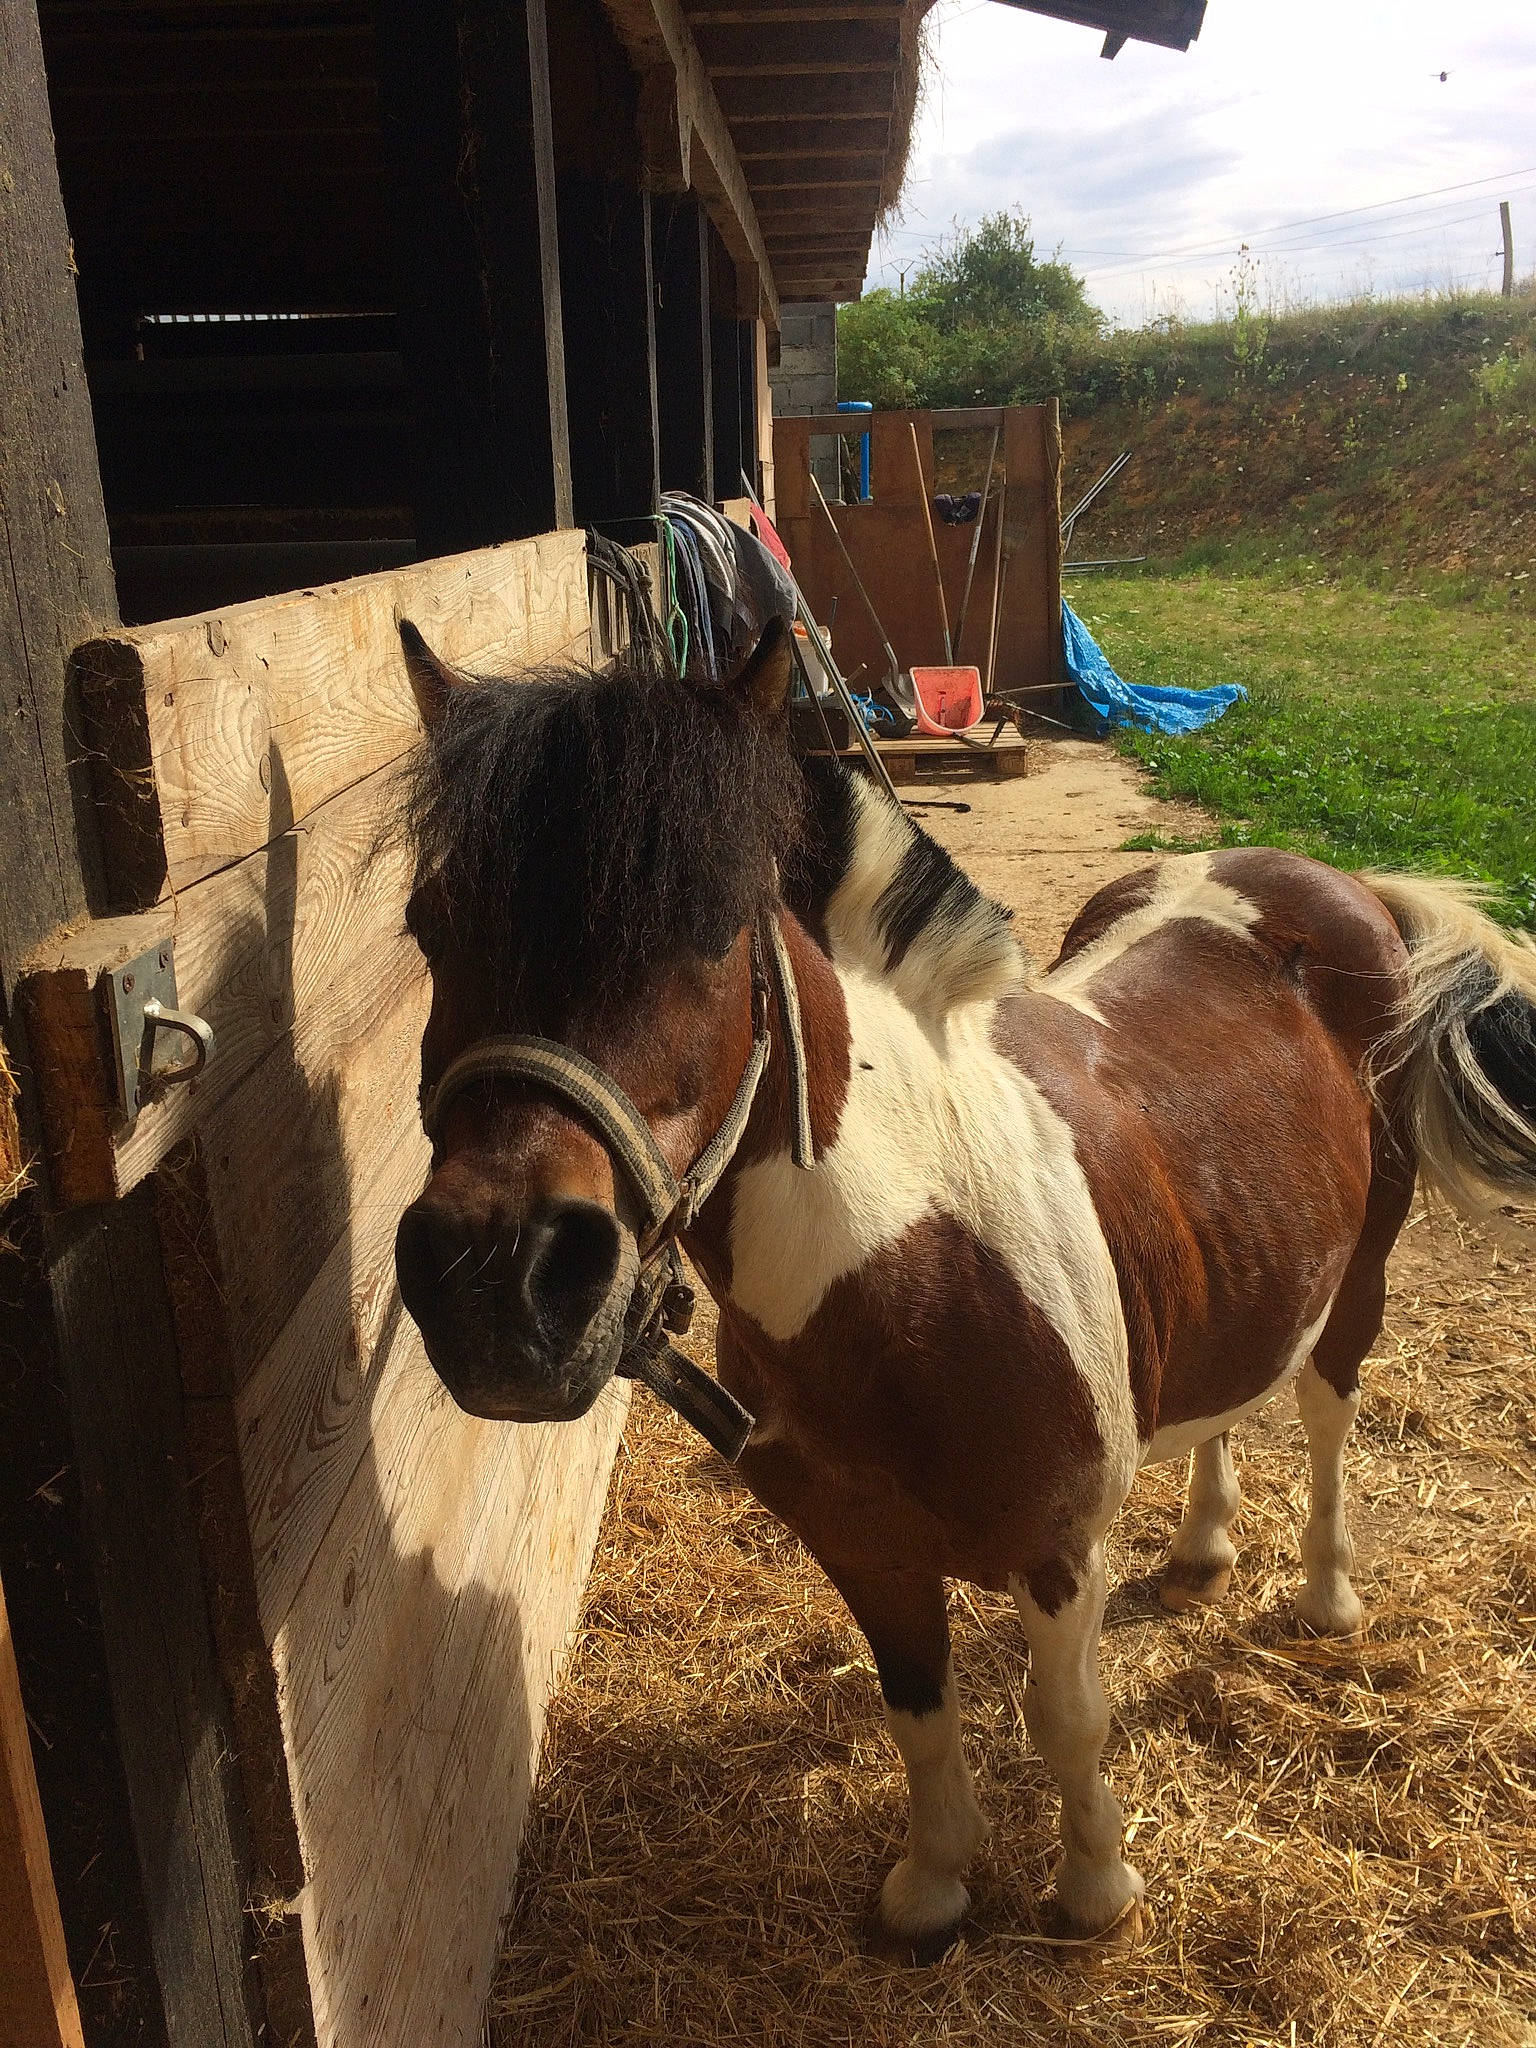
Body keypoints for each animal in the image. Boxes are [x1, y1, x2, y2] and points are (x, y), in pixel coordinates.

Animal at [389, 615, 1536, 1953]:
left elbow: (1068, 1718)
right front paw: (933, 1886)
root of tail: (1335, 884)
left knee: (1324, 1410)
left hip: (1363, 1271)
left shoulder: (1055, 1549)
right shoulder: (862, 1544)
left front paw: (1095, 1890)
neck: (909, 1267)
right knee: (1227, 1399)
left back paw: (1325, 1595)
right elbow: (917, 1709)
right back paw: (1201, 1553)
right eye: (428, 924)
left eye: (711, 931)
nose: (501, 1281)